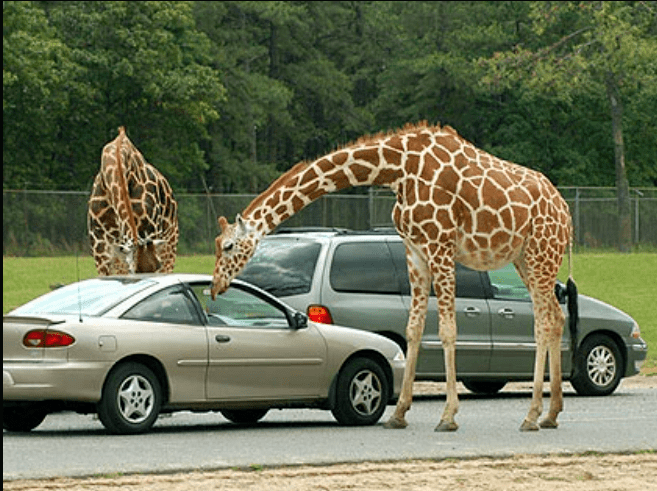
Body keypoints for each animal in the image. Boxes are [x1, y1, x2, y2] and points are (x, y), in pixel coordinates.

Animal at [210, 121, 576, 432]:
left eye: (228, 246)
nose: (215, 287)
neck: (397, 168)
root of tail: (566, 212)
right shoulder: (415, 250)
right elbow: (413, 329)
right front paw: (398, 413)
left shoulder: (441, 245)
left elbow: (448, 330)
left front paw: (448, 416)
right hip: (524, 259)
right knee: (555, 318)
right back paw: (551, 414)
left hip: (541, 253)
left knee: (543, 322)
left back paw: (531, 416)